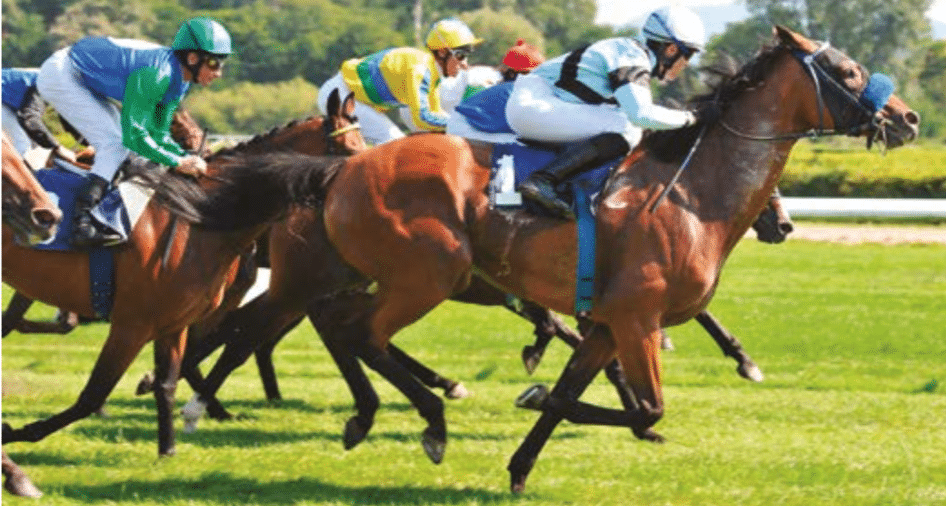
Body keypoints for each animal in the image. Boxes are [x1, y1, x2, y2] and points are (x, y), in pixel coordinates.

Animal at [164, 24, 916, 490]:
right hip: (421, 273)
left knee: (324, 329)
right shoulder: (637, 317)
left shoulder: (608, 322)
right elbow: (645, 408)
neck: (691, 192)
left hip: (356, 272)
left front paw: (522, 458)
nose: (907, 118)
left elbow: (571, 394)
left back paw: (361, 412)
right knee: (341, 332)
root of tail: (340, 167)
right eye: (847, 71)